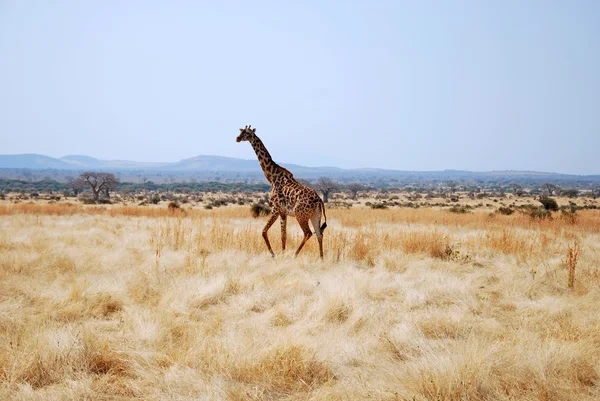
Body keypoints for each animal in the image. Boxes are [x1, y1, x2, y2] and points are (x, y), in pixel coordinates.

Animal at [236, 123, 328, 258]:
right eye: (241, 131)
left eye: (247, 133)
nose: (237, 138)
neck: (272, 177)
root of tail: (319, 200)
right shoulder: (283, 212)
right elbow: (283, 236)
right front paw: (282, 254)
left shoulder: (276, 208)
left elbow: (264, 231)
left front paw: (274, 255)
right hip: (315, 215)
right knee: (319, 234)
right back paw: (321, 259)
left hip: (300, 215)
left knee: (308, 233)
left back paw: (295, 255)